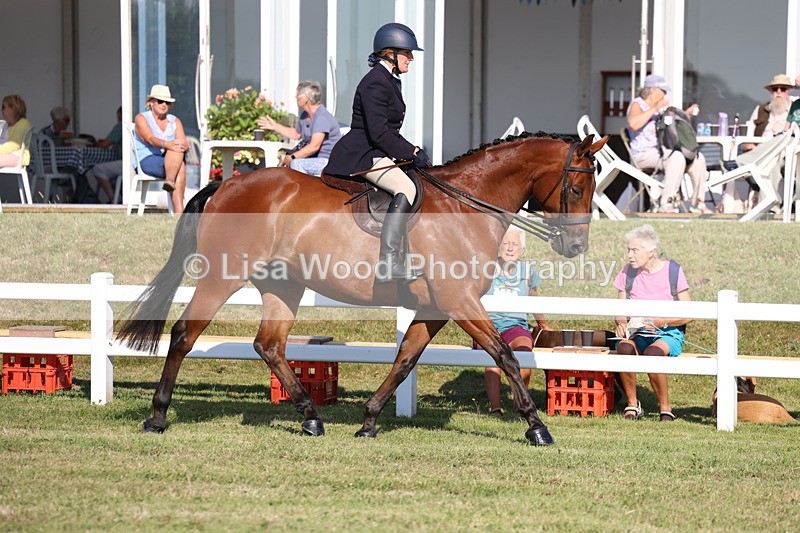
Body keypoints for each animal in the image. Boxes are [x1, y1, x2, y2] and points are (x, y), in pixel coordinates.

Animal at [119, 131, 608, 446]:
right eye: (577, 186)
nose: (576, 247)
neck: (466, 205)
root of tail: (226, 183)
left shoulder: (437, 307)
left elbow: (405, 360)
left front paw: (369, 421)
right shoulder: (459, 300)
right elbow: (504, 355)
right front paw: (537, 427)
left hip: (284, 285)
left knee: (270, 345)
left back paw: (311, 419)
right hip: (222, 277)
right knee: (184, 334)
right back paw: (157, 416)